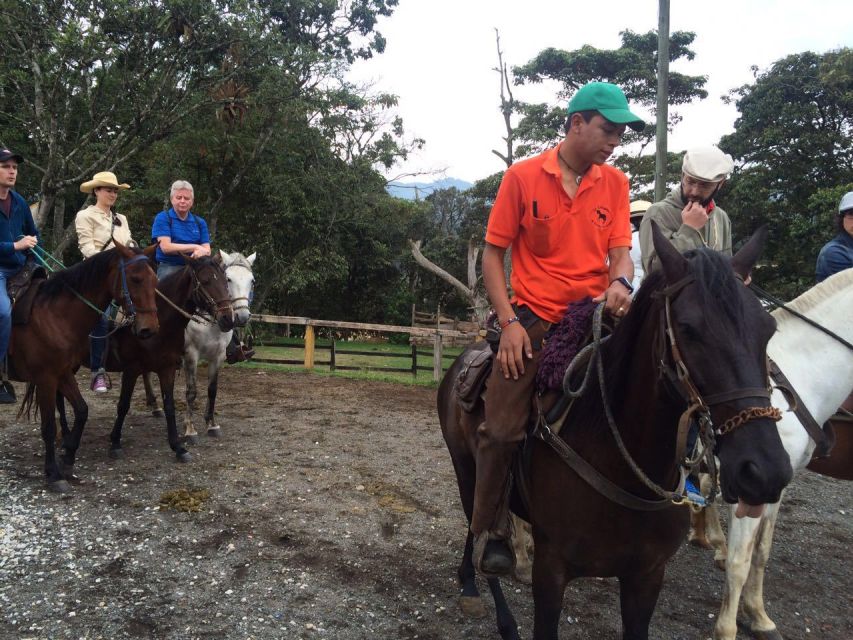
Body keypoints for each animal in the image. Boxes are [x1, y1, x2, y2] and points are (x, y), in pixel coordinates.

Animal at [12, 242, 160, 492]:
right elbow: (48, 426)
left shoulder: (62, 372)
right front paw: (54, 474)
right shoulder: (46, 377)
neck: (53, 316)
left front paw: (69, 456)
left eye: (155, 280)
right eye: (136, 279)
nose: (149, 329)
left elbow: (82, 410)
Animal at [181, 249, 255, 440]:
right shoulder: (191, 355)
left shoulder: (218, 356)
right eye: (228, 279)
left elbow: (212, 390)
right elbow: (191, 391)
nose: (242, 316)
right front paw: (190, 428)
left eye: (252, 281)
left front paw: (211, 424)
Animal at [440, 226, 792, 640]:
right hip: (467, 467)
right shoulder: (551, 571)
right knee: (477, 523)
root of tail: (466, 357)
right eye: (689, 329)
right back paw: (488, 600)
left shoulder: (647, 577)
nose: (765, 471)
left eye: (768, 330)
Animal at [684, 270, 852, 640]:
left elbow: (760, 553)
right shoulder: (750, 487)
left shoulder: (777, 487)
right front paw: (727, 629)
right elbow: (739, 562)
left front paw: (759, 617)